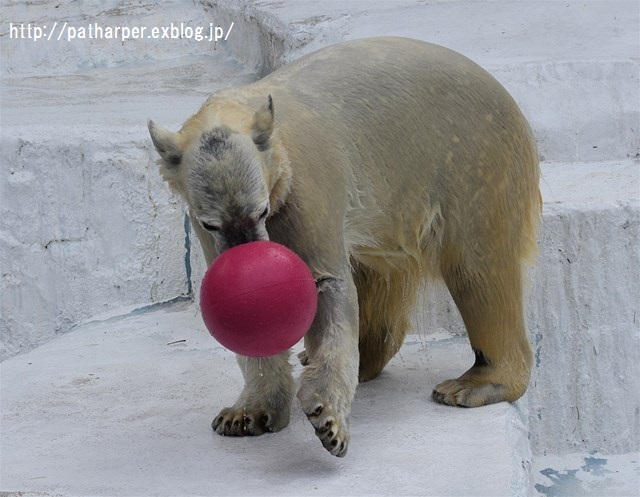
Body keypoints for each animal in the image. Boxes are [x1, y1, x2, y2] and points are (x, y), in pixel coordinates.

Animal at [149, 36, 540, 458]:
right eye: (212, 223)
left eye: (261, 210)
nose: (249, 256)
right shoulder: (201, 221)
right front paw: (244, 415)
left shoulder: (307, 186)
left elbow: (327, 286)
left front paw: (328, 421)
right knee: (380, 271)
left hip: (473, 161)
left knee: (478, 270)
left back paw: (472, 384)